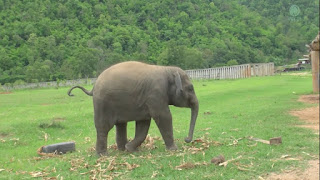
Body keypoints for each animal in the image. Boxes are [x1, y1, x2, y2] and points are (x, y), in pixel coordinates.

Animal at [67, 60, 198, 156]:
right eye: (190, 88)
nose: (186, 139)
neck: (167, 69)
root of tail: (93, 87)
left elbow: (144, 122)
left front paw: (131, 149)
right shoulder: (156, 94)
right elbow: (163, 116)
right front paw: (174, 150)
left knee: (120, 125)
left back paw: (122, 149)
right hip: (102, 104)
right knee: (103, 127)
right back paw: (103, 155)